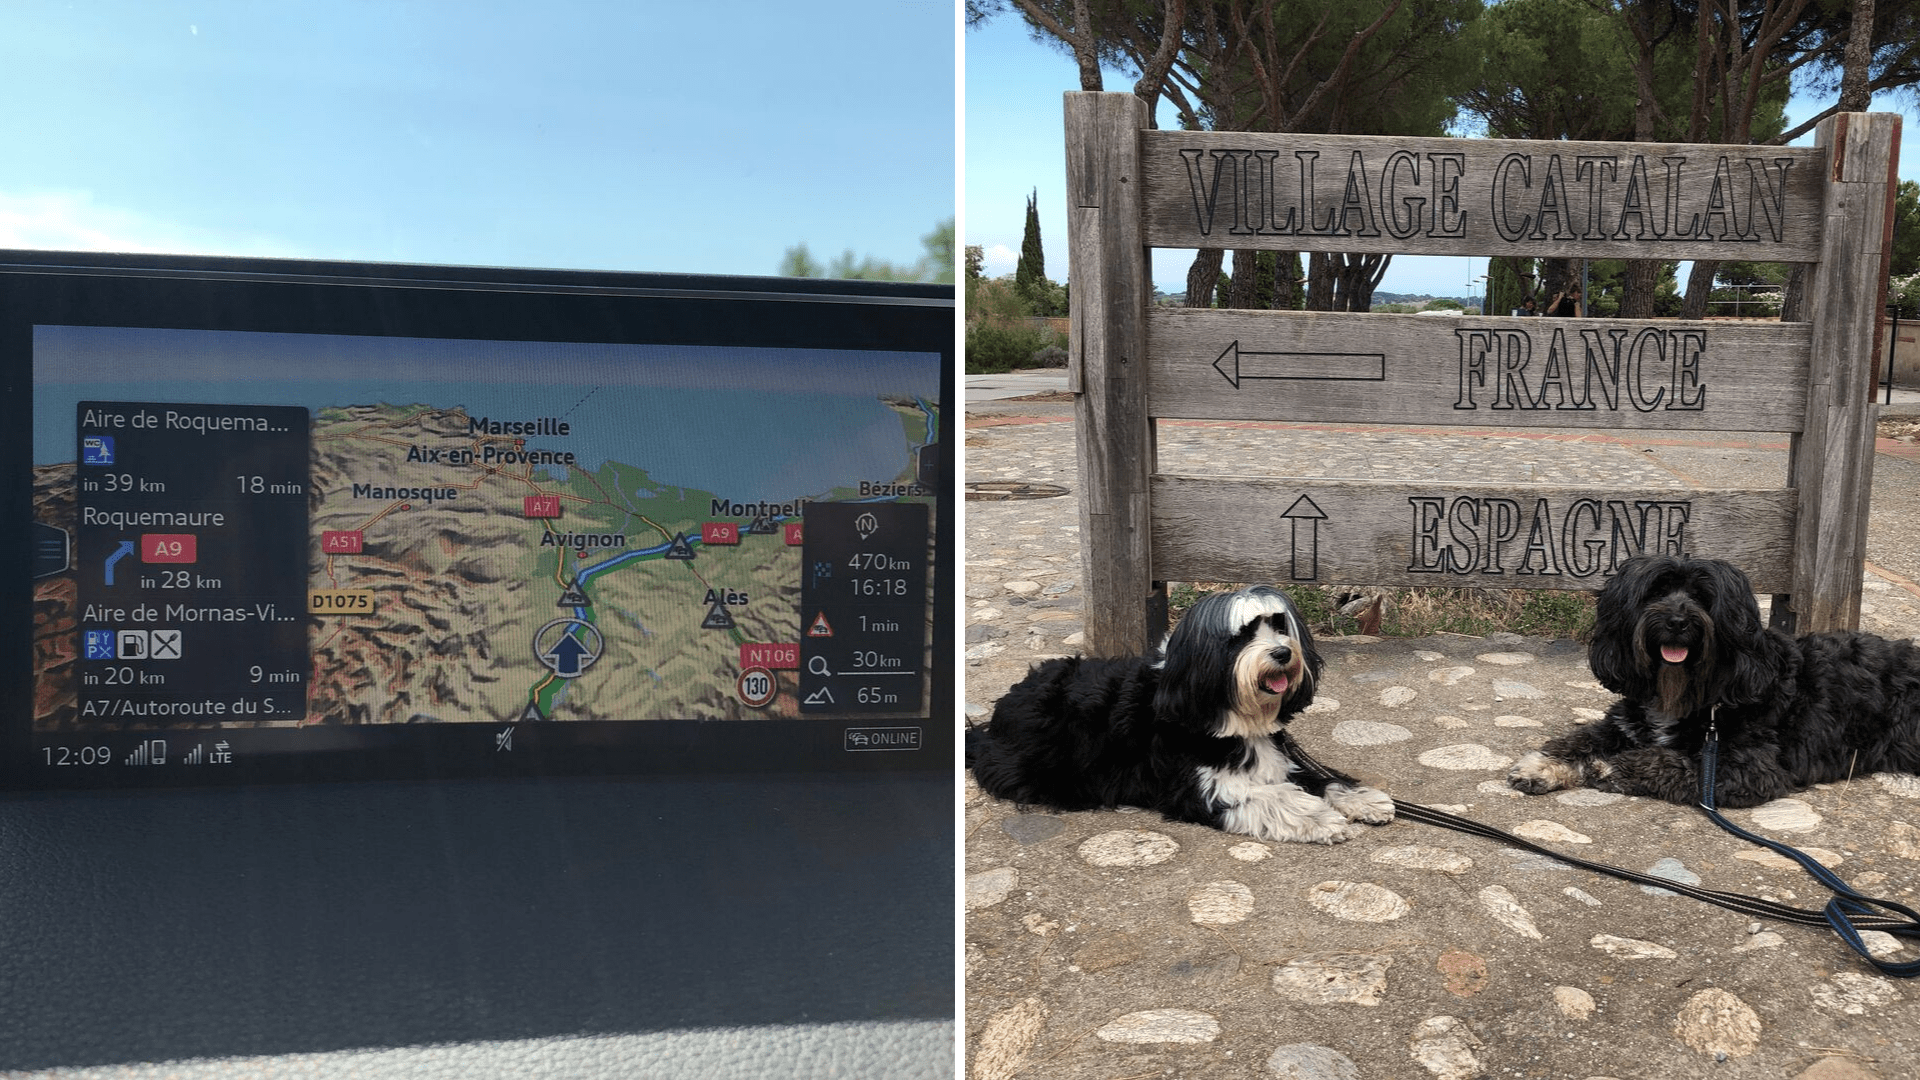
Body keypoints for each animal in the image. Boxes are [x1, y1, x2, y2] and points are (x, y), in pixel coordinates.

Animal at [967, 580, 1390, 841]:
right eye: (1242, 636)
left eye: (1278, 624)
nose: (1284, 653)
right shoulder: (1198, 785)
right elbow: (1271, 797)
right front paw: (1320, 817)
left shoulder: (1281, 756)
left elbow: (1321, 778)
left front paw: (1362, 799)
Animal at [1512, 557, 1920, 803]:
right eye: (1656, 592)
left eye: (1704, 597)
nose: (1678, 620)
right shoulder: (1625, 722)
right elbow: (1582, 738)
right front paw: (1543, 764)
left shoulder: (1748, 769)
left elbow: (1670, 761)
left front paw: (1614, 766)